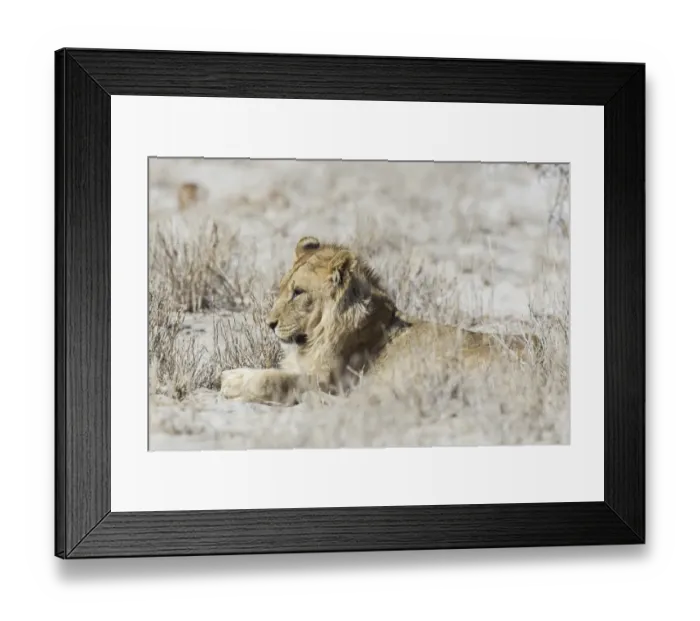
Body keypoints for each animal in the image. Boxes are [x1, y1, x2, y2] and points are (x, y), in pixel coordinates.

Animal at [220, 236, 542, 406]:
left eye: (298, 293)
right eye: (282, 288)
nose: (269, 323)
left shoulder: (332, 383)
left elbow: (276, 380)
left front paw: (233, 382)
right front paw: (235, 376)